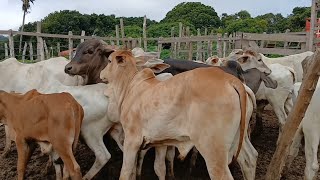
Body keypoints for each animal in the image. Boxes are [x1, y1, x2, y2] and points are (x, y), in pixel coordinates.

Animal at [100, 50, 258, 179]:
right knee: (250, 159)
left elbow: (126, 172)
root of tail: (232, 81)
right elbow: (158, 168)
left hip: (213, 150)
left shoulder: (132, 139)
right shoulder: (160, 141)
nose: (101, 74)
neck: (130, 86)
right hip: (240, 138)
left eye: (109, 61)